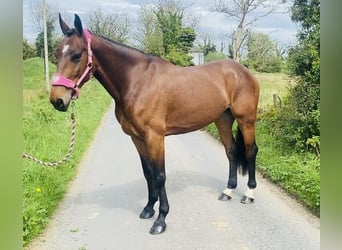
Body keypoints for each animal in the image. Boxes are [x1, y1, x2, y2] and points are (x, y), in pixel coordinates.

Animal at [50, 14, 260, 235]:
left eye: (76, 55)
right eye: (56, 53)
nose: (57, 100)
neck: (137, 81)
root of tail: (243, 71)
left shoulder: (155, 137)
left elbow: (159, 175)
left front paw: (161, 219)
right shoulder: (137, 138)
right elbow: (148, 172)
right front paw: (149, 208)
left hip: (246, 120)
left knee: (250, 151)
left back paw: (249, 194)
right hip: (223, 119)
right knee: (231, 151)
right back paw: (228, 191)